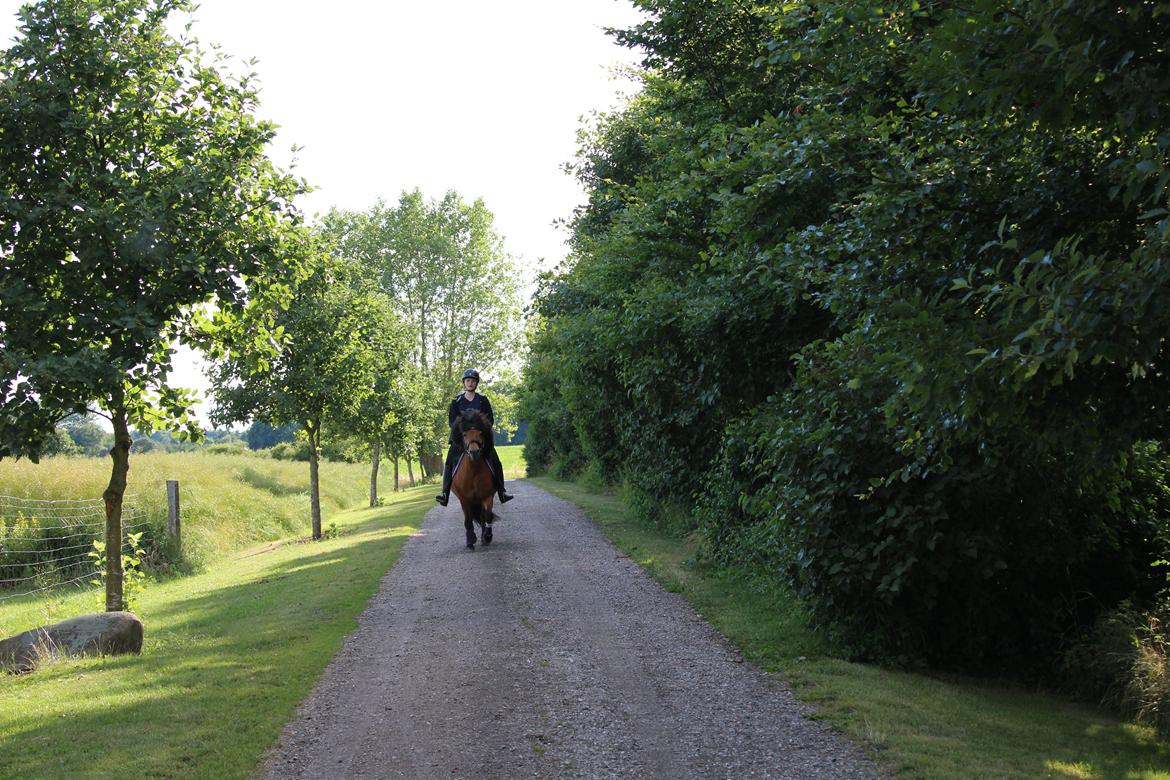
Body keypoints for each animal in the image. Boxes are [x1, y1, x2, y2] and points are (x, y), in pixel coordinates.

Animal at [449, 409, 496, 549]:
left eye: (480, 433)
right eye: (464, 434)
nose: (474, 452)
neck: (473, 472)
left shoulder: (487, 496)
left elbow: (487, 516)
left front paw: (487, 536)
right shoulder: (464, 499)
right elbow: (468, 520)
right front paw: (470, 540)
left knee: (482, 516)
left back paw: (484, 537)